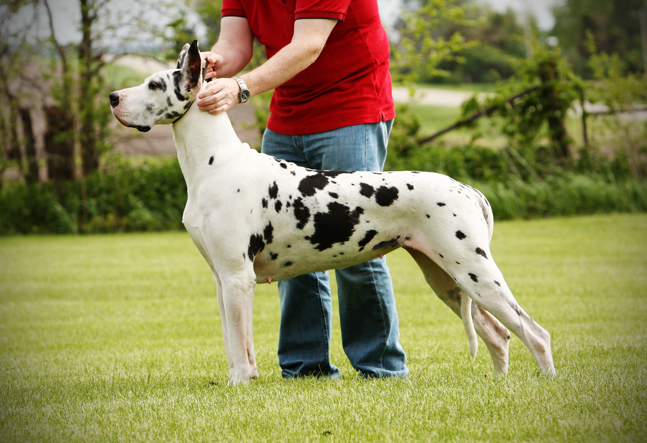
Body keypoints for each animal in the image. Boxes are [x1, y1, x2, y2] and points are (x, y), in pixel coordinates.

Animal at [109, 41, 556, 386]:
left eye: (154, 84)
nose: (113, 97)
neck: (215, 162)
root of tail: (469, 190)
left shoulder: (238, 279)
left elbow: (240, 346)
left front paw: (239, 384)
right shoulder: (223, 280)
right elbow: (233, 343)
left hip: (476, 273)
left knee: (535, 333)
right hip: (448, 278)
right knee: (499, 335)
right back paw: (498, 383)